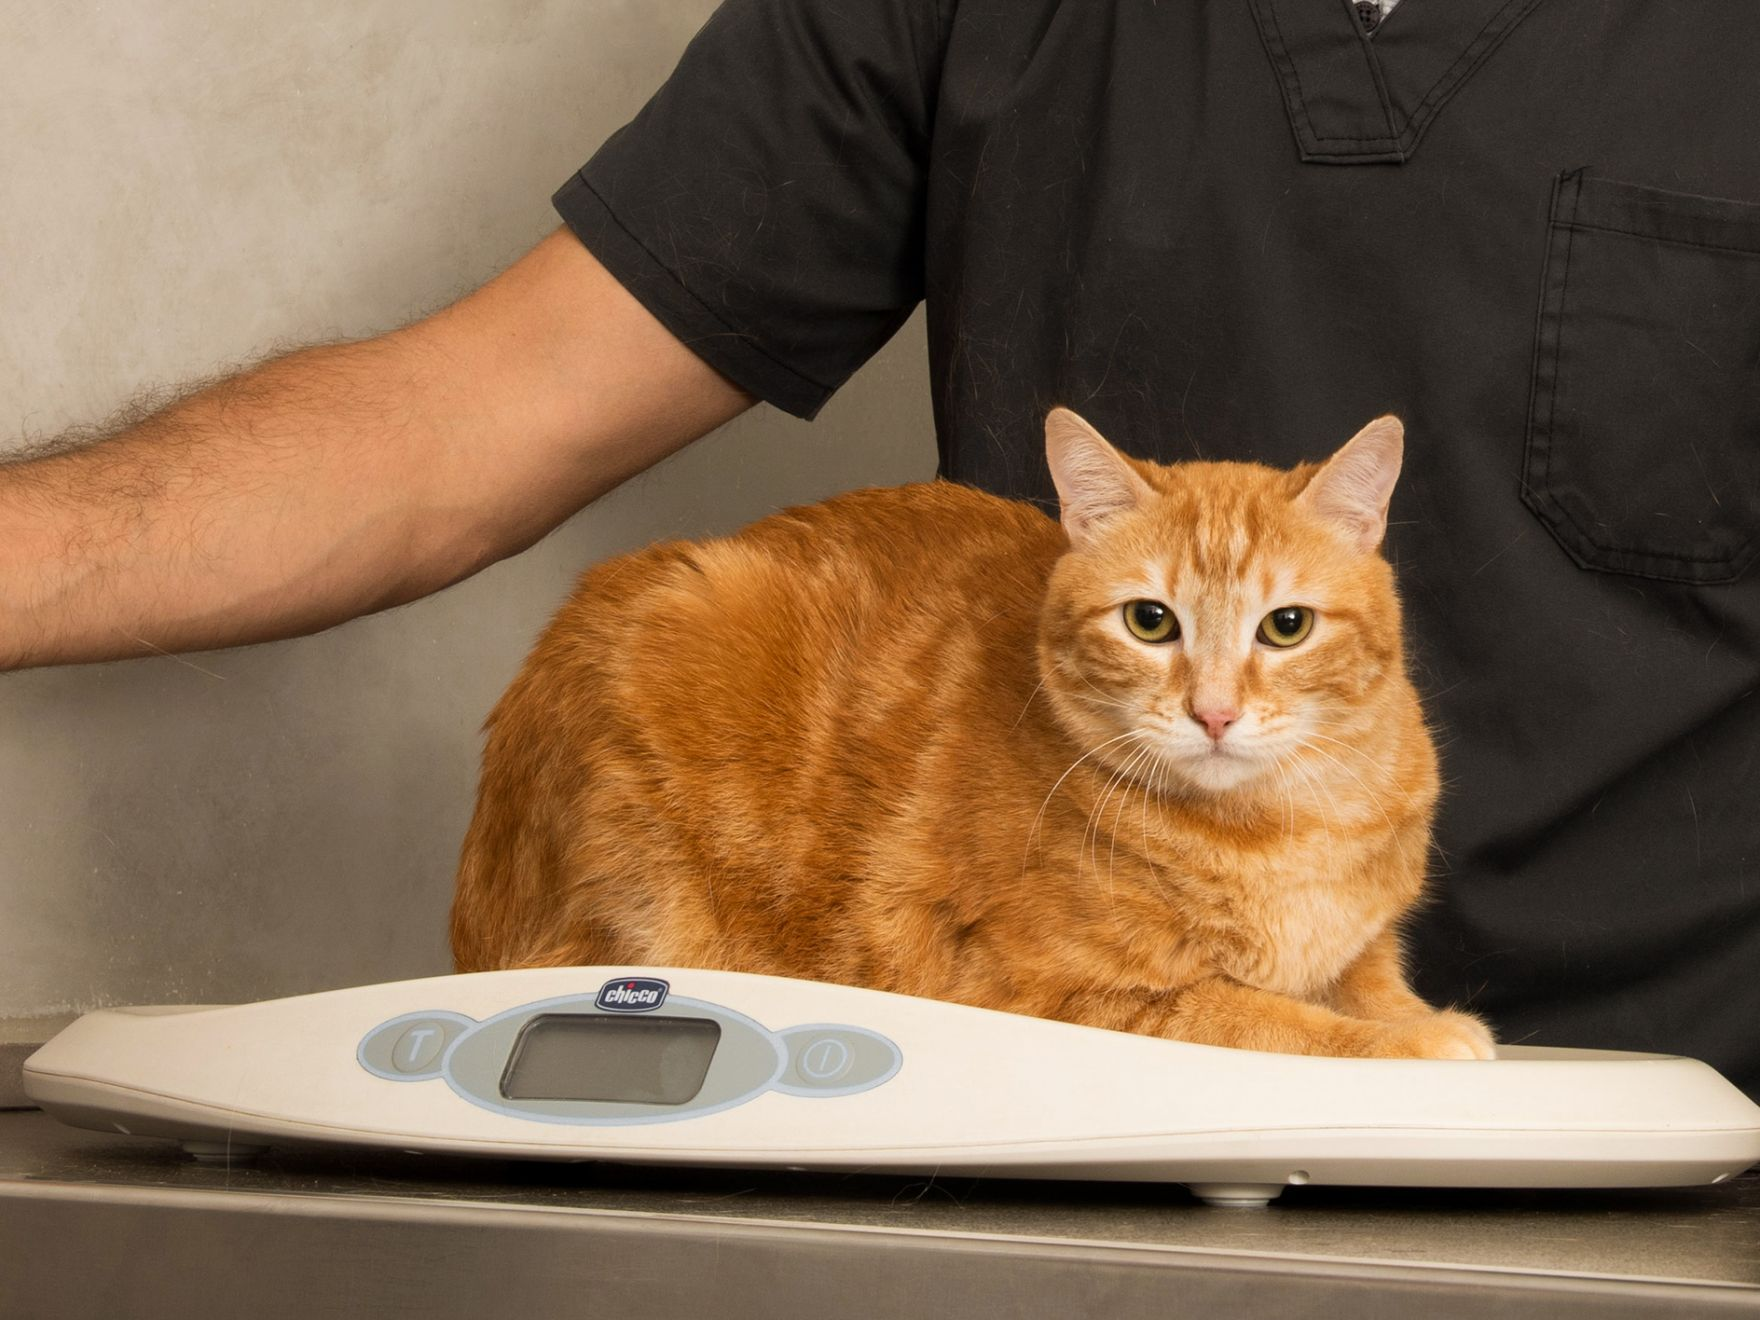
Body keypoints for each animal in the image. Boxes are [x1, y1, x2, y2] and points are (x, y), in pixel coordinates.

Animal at [447, 408, 1492, 1063]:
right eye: (1150, 622)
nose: (1214, 712)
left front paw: (1417, 1016)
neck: (1281, 828)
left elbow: (1367, 980)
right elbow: (1276, 1019)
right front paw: (1416, 1039)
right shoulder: (1060, 995)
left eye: (1287, 627)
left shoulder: (1360, 938)